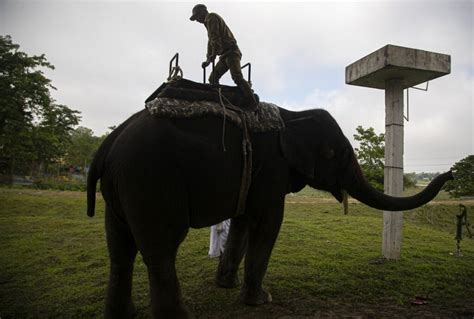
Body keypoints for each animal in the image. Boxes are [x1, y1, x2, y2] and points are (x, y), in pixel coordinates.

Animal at [87, 105, 454, 319]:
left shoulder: (253, 175)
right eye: (333, 153)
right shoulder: (272, 169)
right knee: (160, 251)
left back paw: (122, 316)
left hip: (120, 188)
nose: (450, 173)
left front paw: (227, 286)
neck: (292, 115)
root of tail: (108, 145)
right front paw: (261, 300)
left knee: (120, 249)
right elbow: (268, 221)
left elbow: (243, 221)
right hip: (151, 180)